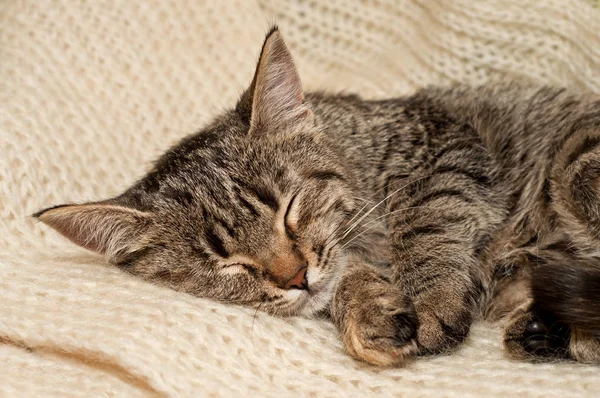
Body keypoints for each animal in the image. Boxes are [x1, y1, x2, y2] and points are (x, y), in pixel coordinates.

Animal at [36, 26, 600, 366]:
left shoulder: (447, 149)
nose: (295, 277)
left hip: (577, 165)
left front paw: (430, 295)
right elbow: (344, 281)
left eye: (289, 209)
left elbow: (425, 221)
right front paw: (369, 312)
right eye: (226, 263)